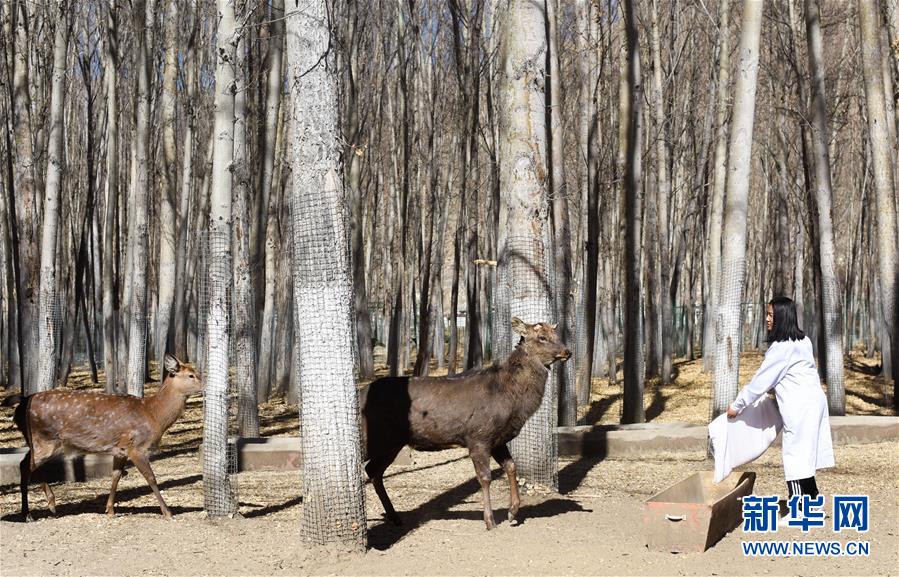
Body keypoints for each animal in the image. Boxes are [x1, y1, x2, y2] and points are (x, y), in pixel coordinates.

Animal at [2, 354, 203, 520]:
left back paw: (47, 506)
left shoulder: (121, 449)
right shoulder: (137, 446)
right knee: (26, 466)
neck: (153, 415)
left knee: (28, 463)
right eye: (191, 375)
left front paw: (110, 510)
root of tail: (21, 404)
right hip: (44, 439)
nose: (205, 385)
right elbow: (151, 477)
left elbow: (116, 476)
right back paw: (31, 512)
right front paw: (168, 512)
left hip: (40, 441)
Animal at [358, 318, 568, 528]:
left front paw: (512, 512)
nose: (567, 351)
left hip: (392, 444)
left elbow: (511, 467)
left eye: (557, 334)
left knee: (373, 470)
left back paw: (395, 517)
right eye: (542, 337)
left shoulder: (497, 439)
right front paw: (490, 520)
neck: (512, 401)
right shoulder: (478, 436)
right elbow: (485, 477)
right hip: (372, 437)